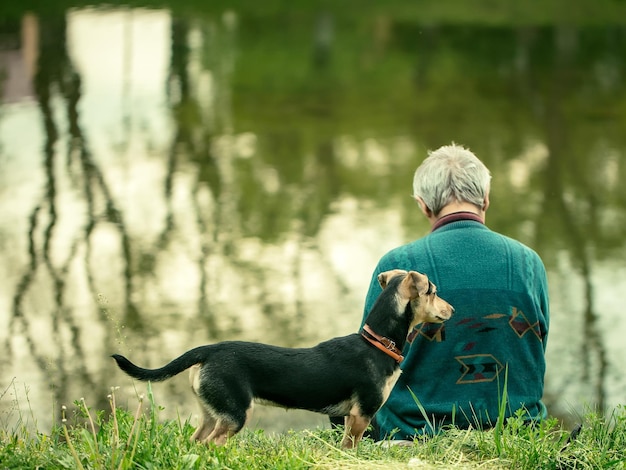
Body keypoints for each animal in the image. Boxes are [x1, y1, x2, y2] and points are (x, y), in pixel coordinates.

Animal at [112, 268, 450, 448]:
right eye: (433, 292)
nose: (452, 309)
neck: (376, 343)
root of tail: (208, 350)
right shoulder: (361, 415)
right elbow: (351, 446)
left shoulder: (348, 417)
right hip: (235, 414)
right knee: (211, 445)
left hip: (212, 411)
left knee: (195, 442)